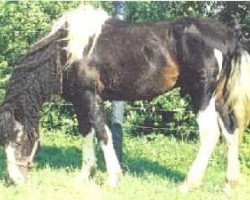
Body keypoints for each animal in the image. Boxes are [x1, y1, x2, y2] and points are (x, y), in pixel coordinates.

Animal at [0, 5, 250, 192]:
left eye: (18, 137)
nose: (15, 181)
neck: (66, 50)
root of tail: (229, 35)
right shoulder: (79, 100)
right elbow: (86, 133)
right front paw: (84, 177)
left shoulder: (91, 95)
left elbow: (103, 133)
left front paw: (112, 179)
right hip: (219, 98)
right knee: (230, 132)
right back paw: (230, 183)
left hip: (202, 95)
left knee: (210, 134)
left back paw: (189, 183)